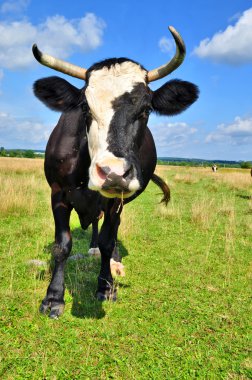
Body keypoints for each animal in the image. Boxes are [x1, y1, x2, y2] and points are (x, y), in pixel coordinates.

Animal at [33, 26, 199, 318]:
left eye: (145, 109)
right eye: (85, 108)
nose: (112, 173)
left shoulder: (115, 202)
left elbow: (109, 241)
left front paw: (106, 286)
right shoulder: (58, 193)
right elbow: (62, 245)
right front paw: (53, 298)